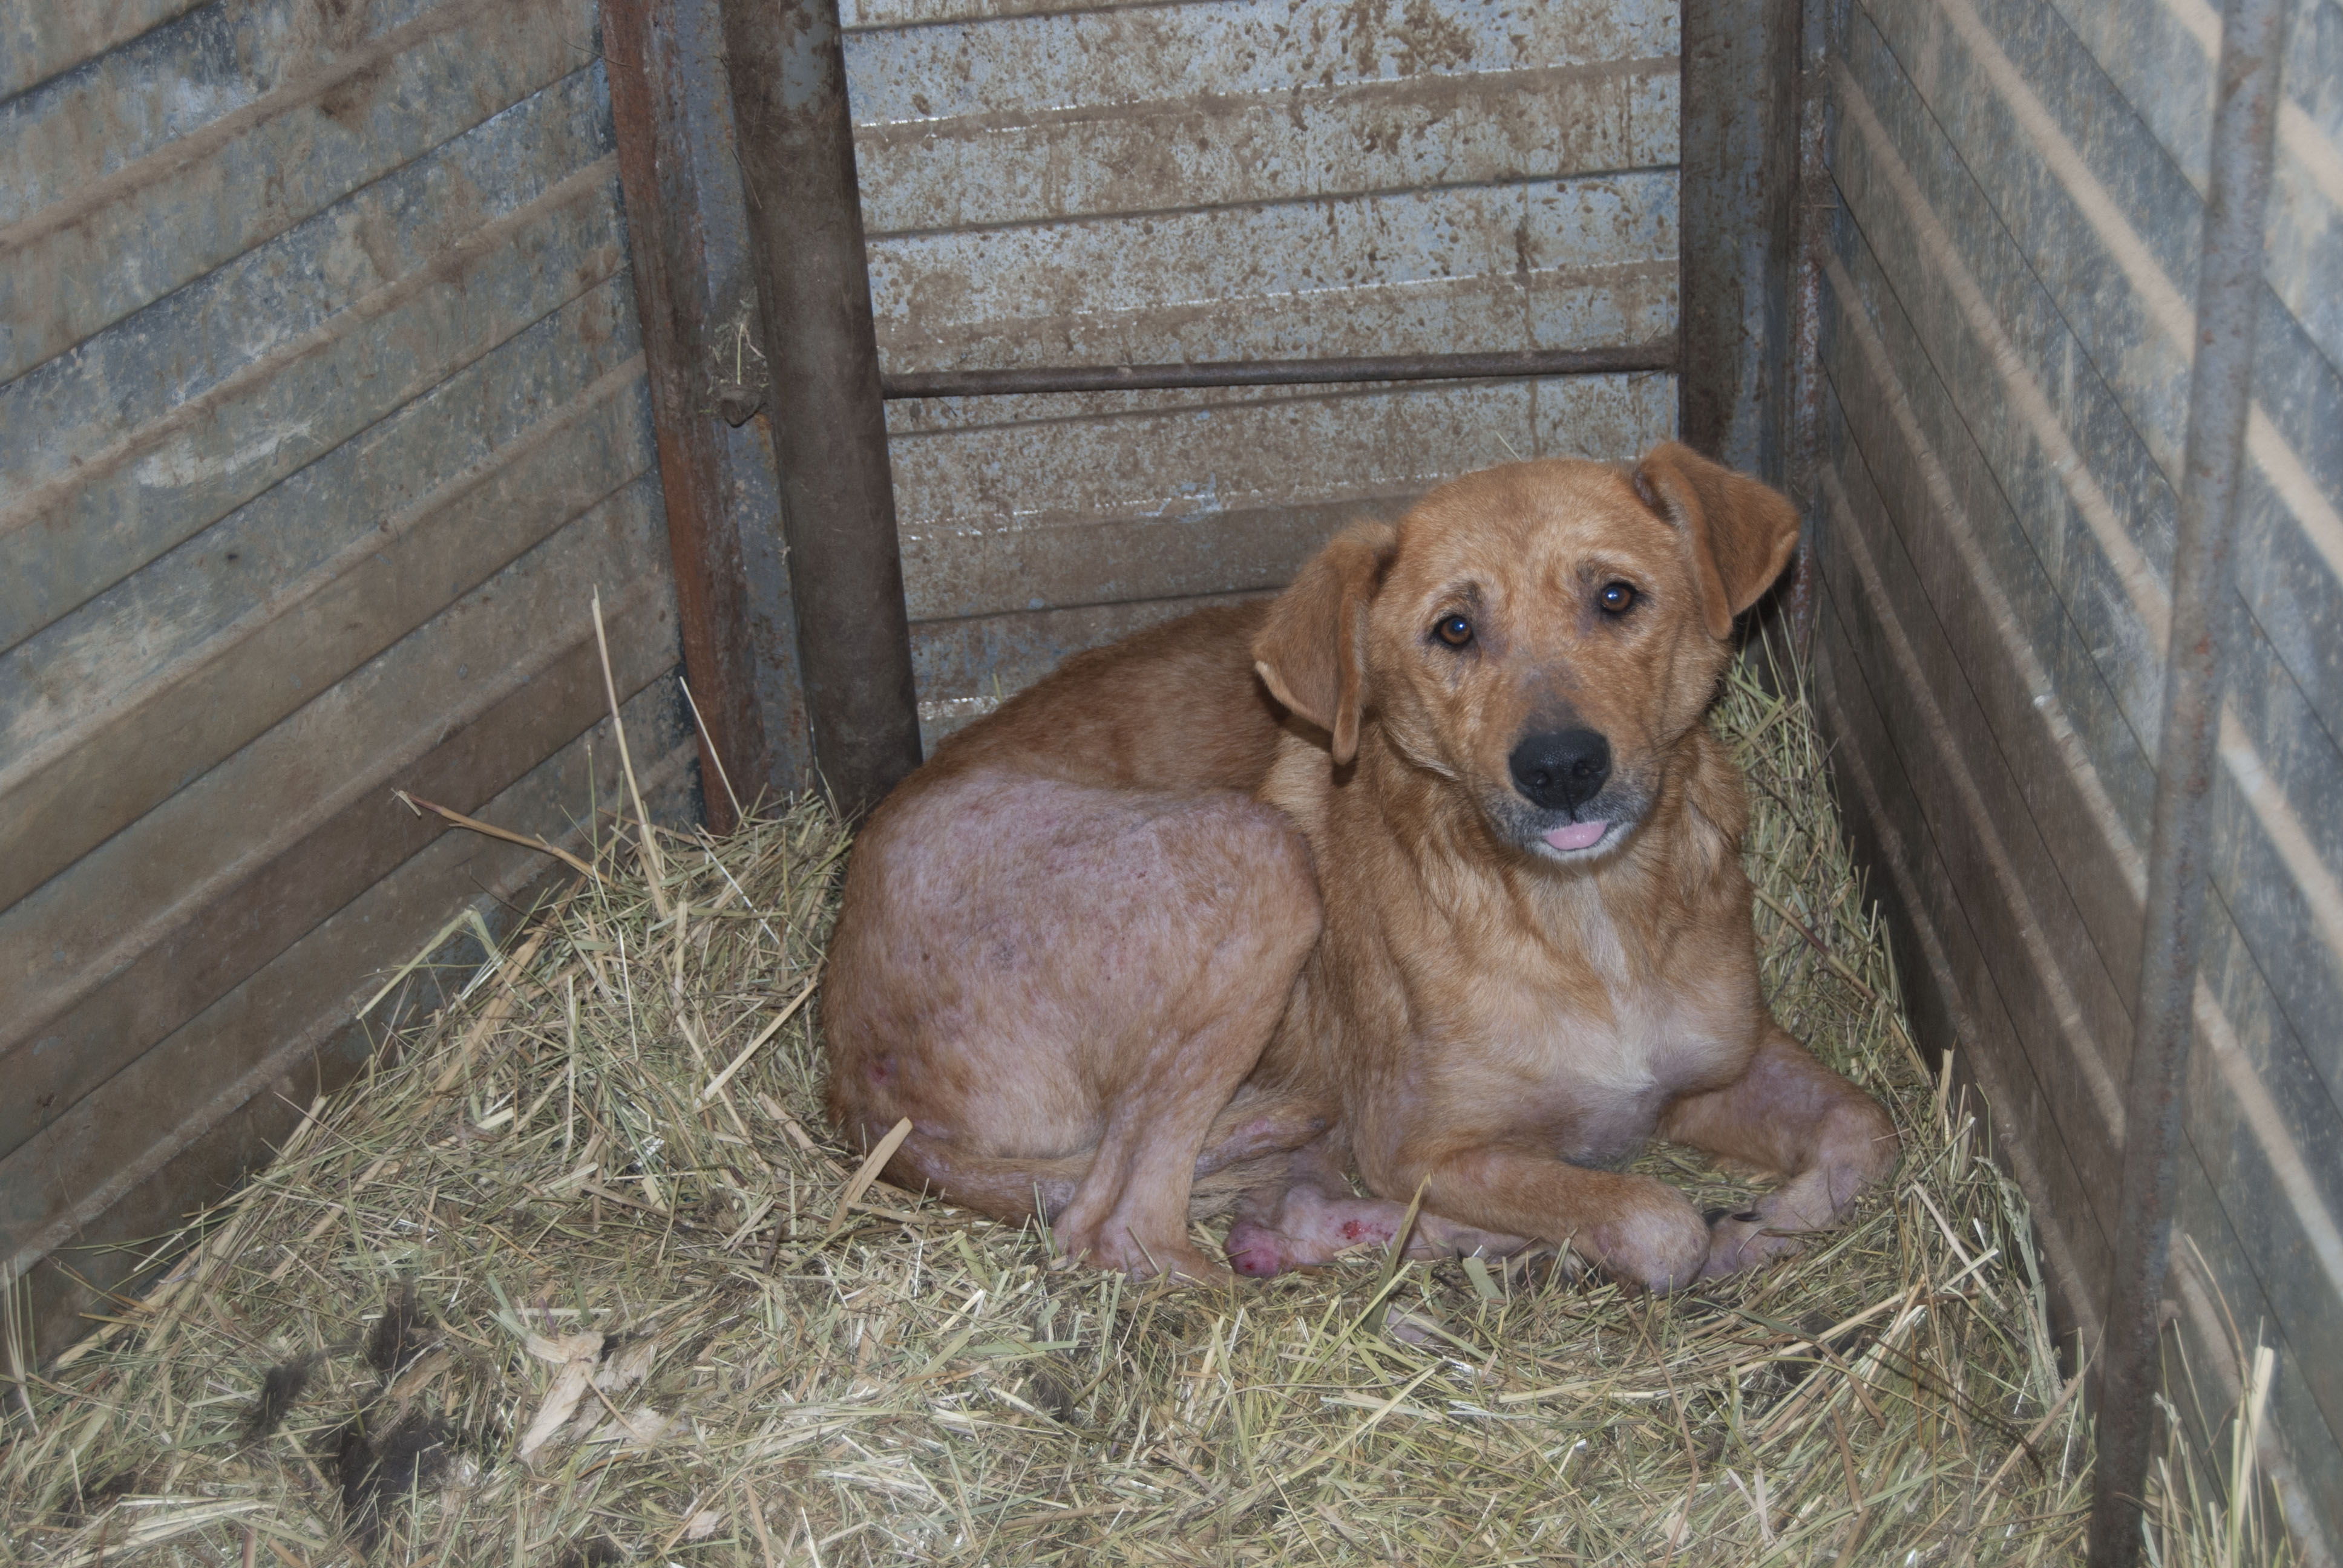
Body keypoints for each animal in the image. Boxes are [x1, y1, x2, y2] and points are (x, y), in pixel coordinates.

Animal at [824, 440, 1902, 1284]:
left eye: (1616, 597)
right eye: (1454, 629)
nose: (1561, 769)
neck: (1587, 920)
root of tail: (852, 1082)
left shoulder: (1723, 1068)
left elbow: (1865, 1127)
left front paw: (1780, 1221)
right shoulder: (1421, 1147)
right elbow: (1654, 1218)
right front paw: (1678, 1235)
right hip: (1255, 854)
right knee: (1118, 1227)